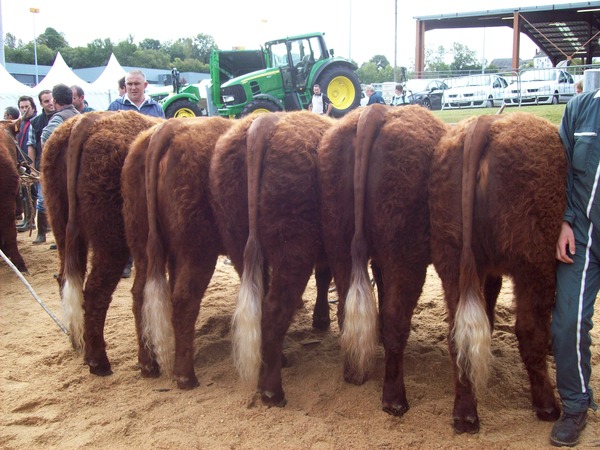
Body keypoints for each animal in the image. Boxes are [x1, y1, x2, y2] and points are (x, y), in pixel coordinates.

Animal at [42, 110, 162, 374]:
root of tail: (86, 122)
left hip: (62, 226)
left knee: (67, 280)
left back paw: (78, 343)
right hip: (112, 240)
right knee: (98, 290)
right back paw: (100, 362)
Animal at [210, 111, 332, 404]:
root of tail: (263, 123)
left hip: (237, 240)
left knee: (261, 305)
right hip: (294, 248)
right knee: (275, 309)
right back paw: (272, 390)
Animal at [318, 103, 450, 416]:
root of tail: (375, 112)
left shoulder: (378, 257)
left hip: (338, 239)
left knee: (345, 307)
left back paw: (353, 374)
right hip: (406, 254)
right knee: (395, 319)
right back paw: (395, 400)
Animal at [428, 110, 564, 434]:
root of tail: (487, 122)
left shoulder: (486, 269)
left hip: (451, 256)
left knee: (457, 335)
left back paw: (465, 415)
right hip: (535, 262)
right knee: (530, 329)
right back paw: (547, 406)